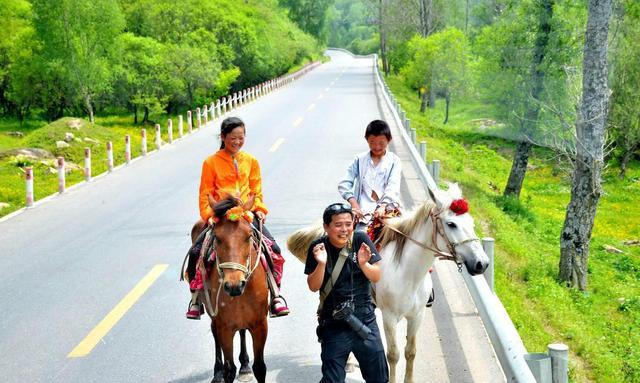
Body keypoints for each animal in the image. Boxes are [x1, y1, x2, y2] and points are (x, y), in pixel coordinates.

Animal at [191, 196, 268, 383]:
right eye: (217, 238)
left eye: (248, 236)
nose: (234, 285)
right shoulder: (225, 327)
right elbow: (229, 369)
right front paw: (224, 371)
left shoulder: (260, 325)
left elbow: (260, 367)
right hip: (215, 319)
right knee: (215, 334)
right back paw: (217, 371)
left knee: (242, 331)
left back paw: (245, 366)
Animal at [376, 184, 490, 382]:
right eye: (451, 224)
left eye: (472, 223)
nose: (481, 263)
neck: (408, 275)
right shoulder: (388, 317)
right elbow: (393, 354)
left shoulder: (417, 315)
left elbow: (410, 352)